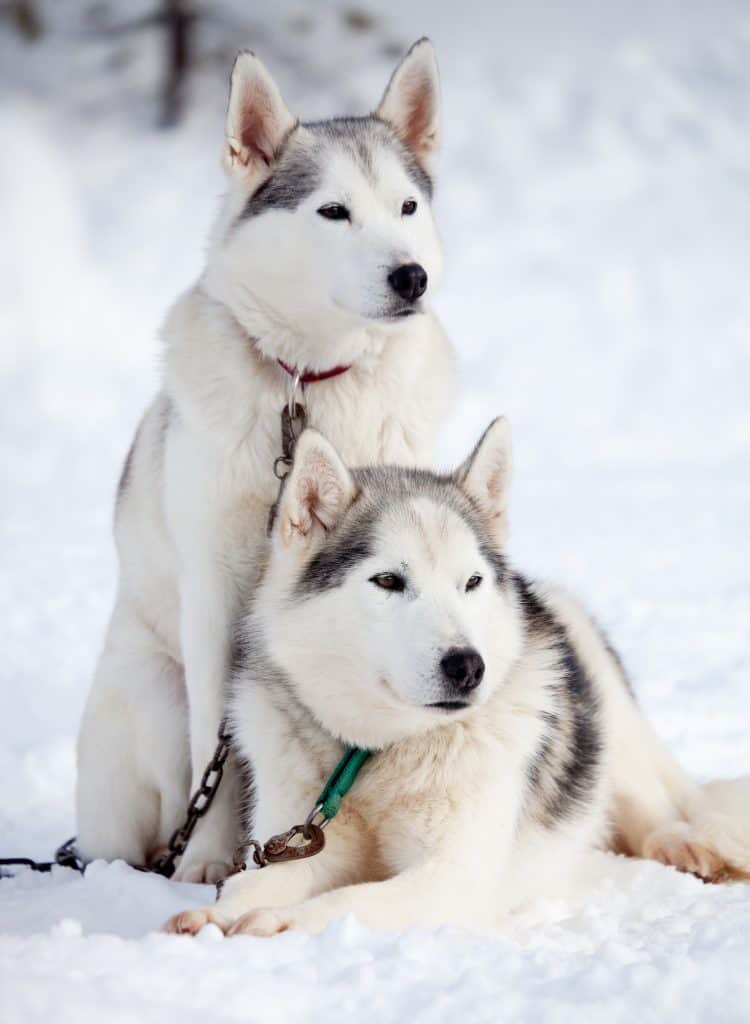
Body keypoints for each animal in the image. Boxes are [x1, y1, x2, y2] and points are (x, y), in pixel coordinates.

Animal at [76, 39, 454, 884]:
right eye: (333, 212)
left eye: (407, 209)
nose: (411, 276)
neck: (311, 384)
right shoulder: (214, 594)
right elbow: (216, 757)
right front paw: (210, 863)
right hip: (156, 688)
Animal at [165, 421, 750, 937]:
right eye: (387, 581)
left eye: (471, 582)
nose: (467, 665)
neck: (377, 754)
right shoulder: (301, 841)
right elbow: (251, 884)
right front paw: (217, 913)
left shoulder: (452, 876)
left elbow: (348, 899)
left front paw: (283, 922)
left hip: (613, 742)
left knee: (657, 810)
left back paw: (686, 846)